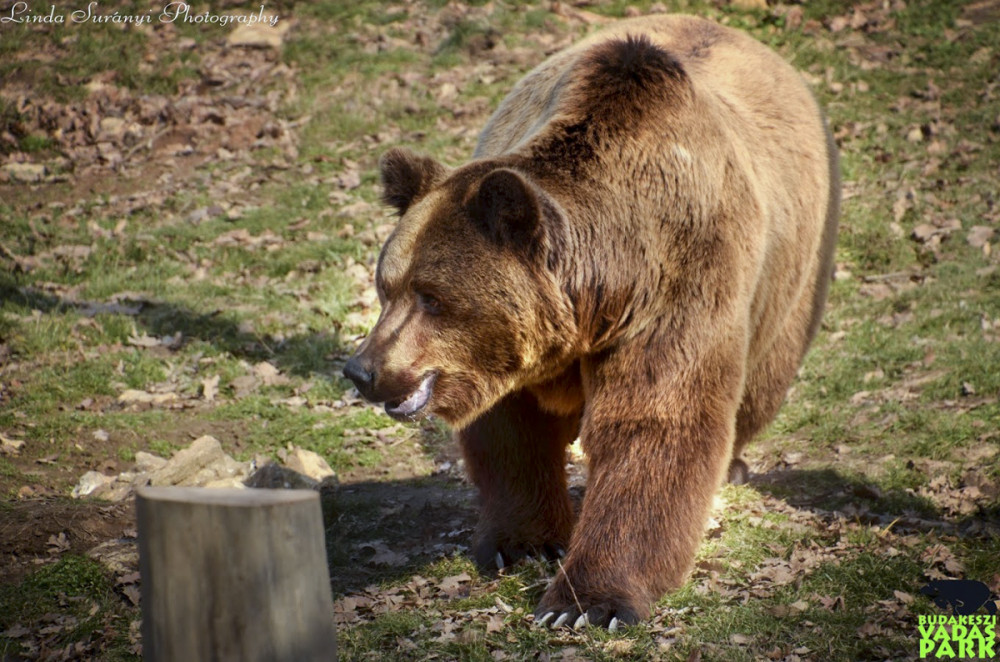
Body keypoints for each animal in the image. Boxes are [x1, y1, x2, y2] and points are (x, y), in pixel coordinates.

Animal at [344, 13, 836, 632]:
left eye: (431, 296)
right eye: (386, 286)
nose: (361, 369)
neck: (601, 295)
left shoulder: (682, 280)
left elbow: (654, 422)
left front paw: (584, 604)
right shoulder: (509, 354)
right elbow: (512, 428)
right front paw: (523, 541)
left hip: (796, 266)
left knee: (763, 378)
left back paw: (736, 464)